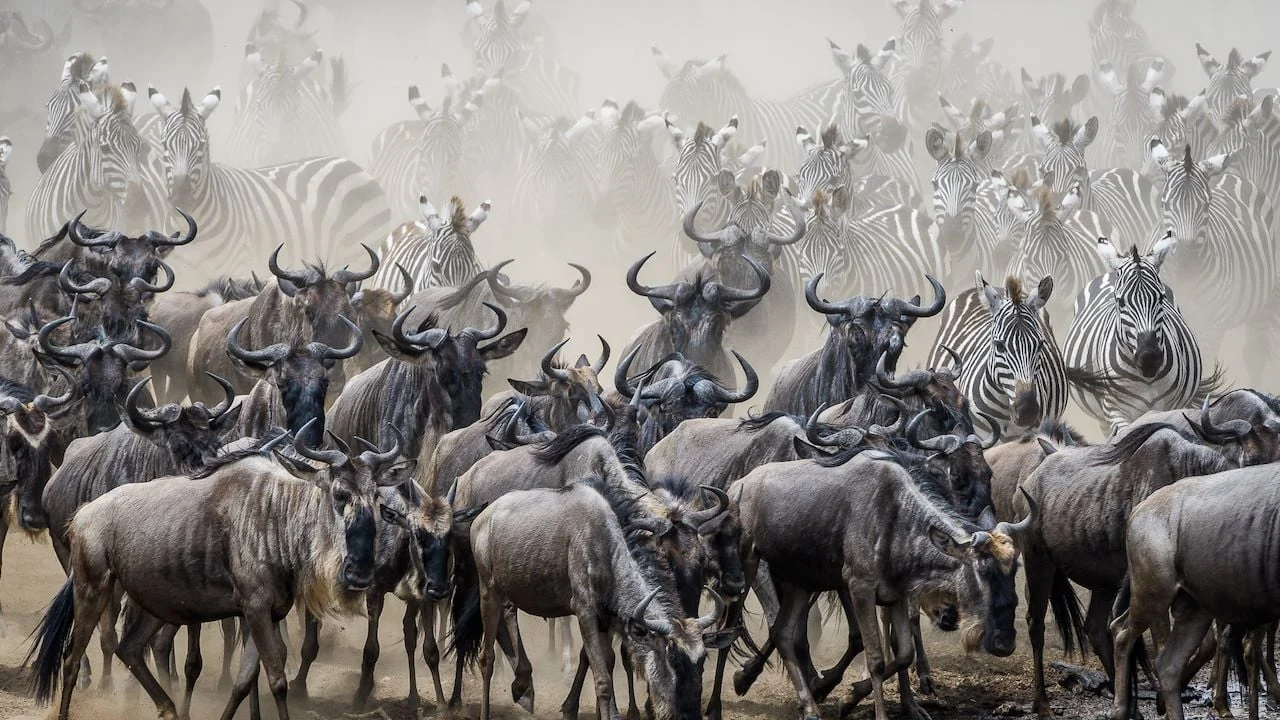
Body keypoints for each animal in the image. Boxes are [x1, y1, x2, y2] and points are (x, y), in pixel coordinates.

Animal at [148, 85, 390, 278]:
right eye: (164, 144)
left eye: (201, 145)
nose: (181, 194)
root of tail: (352, 164)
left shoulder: (237, 267)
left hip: (359, 252)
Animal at [1063, 233, 1208, 436]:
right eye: (1120, 301)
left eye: (1161, 298)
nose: (1149, 358)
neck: (1146, 379)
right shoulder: (1116, 412)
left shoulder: (1171, 406)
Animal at [1145, 138, 1276, 382]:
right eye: (1165, 204)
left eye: (1206, 205)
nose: (1185, 258)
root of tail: (1233, 176)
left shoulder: (1212, 325)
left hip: (1264, 305)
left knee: (1255, 353)